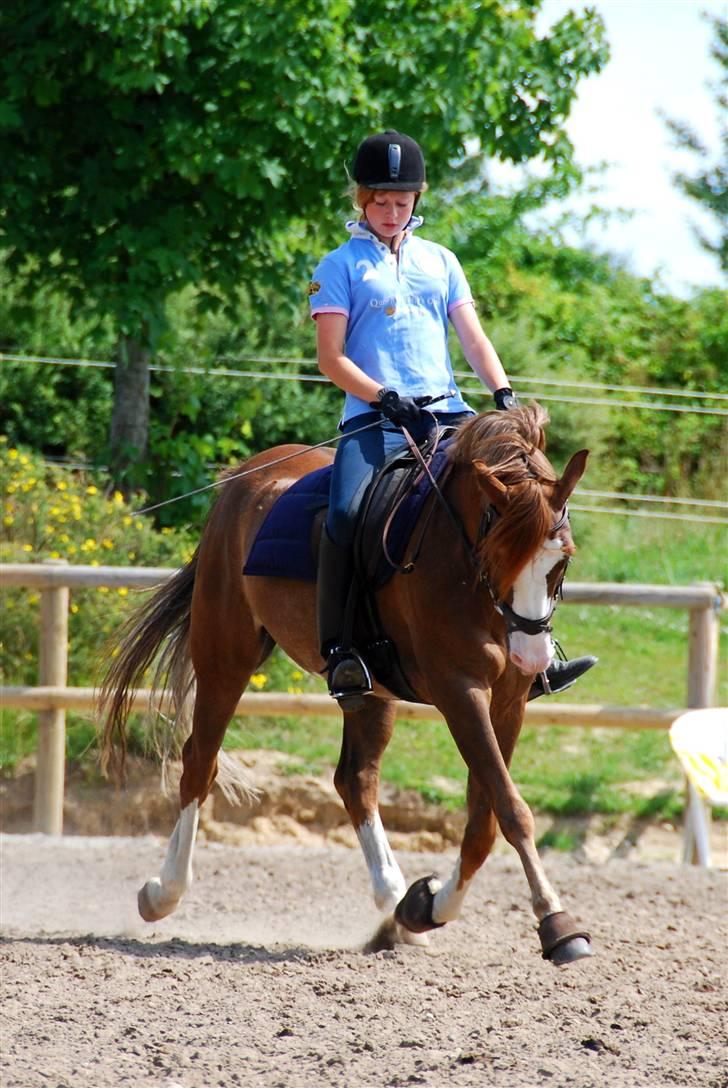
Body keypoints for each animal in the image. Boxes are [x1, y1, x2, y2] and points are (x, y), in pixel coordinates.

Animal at [100, 404, 591, 966]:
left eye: (562, 561)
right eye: (497, 555)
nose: (530, 655)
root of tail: (242, 478)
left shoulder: (508, 700)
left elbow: (483, 818)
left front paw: (426, 906)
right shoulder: (460, 691)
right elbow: (511, 810)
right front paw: (557, 924)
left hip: (372, 691)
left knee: (355, 780)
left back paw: (394, 902)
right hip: (225, 653)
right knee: (200, 762)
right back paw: (163, 893)